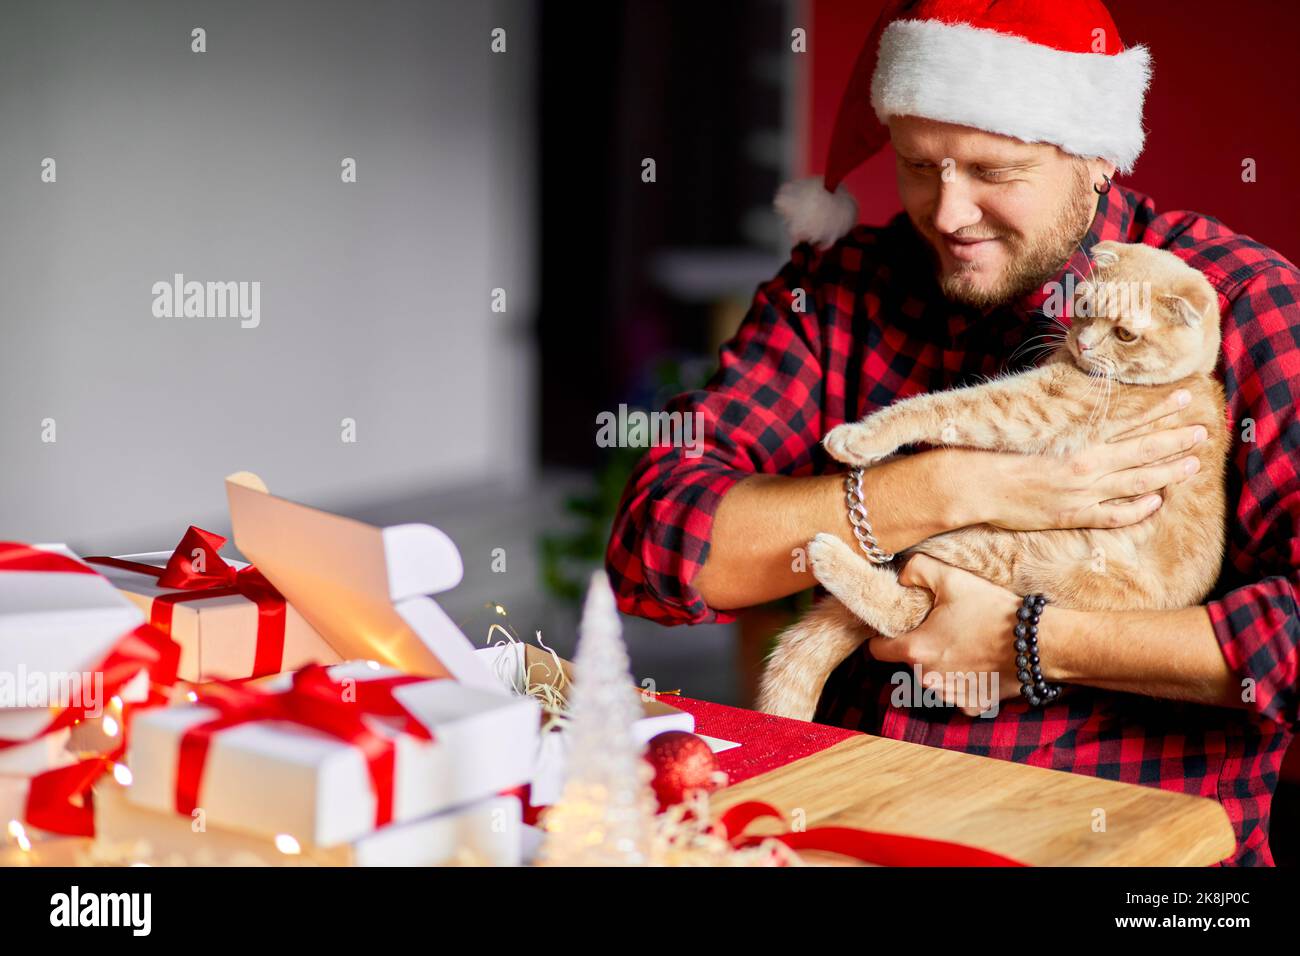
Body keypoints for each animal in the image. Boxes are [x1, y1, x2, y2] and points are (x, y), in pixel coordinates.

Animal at [759, 243, 1222, 723]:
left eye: (1126, 334)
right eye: (1085, 307)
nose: (1083, 342)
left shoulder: (1023, 407)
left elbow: (939, 406)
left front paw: (860, 437)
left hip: (987, 549)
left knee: (905, 612)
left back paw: (828, 556)